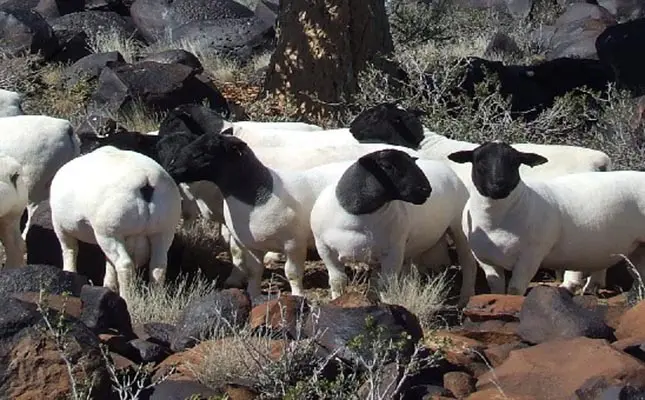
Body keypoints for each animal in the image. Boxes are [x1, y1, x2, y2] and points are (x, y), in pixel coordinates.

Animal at [49, 146, 182, 304]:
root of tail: (146, 181)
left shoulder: (61, 228)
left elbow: (70, 251)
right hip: (163, 232)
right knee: (158, 266)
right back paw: (155, 300)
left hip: (110, 233)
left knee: (125, 265)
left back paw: (128, 300)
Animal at [161, 132, 421, 300]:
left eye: (204, 151)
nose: (172, 168)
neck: (256, 196)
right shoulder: (252, 246)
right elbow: (254, 272)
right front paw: (253, 295)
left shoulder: (293, 243)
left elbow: (293, 273)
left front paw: (297, 295)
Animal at [310, 149, 478, 304]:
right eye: (387, 165)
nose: (426, 190)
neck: (357, 219)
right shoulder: (324, 249)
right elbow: (338, 280)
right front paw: (337, 300)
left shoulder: (393, 252)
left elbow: (386, 285)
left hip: (459, 228)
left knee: (468, 263)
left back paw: (465, 298)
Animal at [446, 141, 645, 299]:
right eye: (480, 161)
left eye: (515, 162)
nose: (499, 185)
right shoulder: (487, 260)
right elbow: (496, 289)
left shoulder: (531, 256)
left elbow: (515, 290)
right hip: (635, 248)